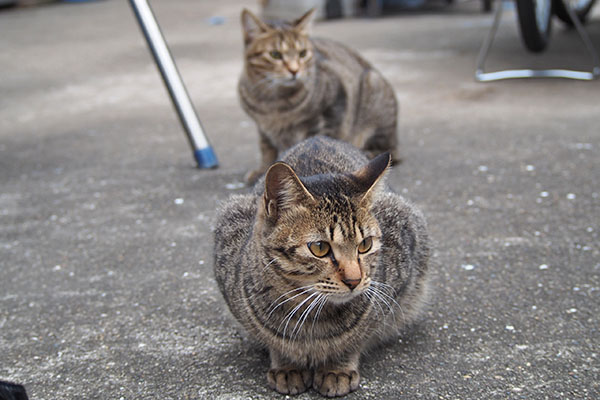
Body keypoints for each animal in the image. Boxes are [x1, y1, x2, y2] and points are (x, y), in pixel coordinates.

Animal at [213, 137, 428, 396]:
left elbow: (356, 339)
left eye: (365, 245)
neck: (311, 319)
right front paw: (287, 365)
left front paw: (337, 368)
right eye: (319, 248)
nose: (354, 280)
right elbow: (274, 343)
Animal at [238, 8, 398, 183]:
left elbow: (318, 144)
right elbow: (266, 148)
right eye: (275, 54)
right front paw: (262, 170)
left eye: (302, 53)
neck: (275, 102)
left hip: (374, 88)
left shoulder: (330, 111)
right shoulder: (262, 127)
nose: (294, 70)